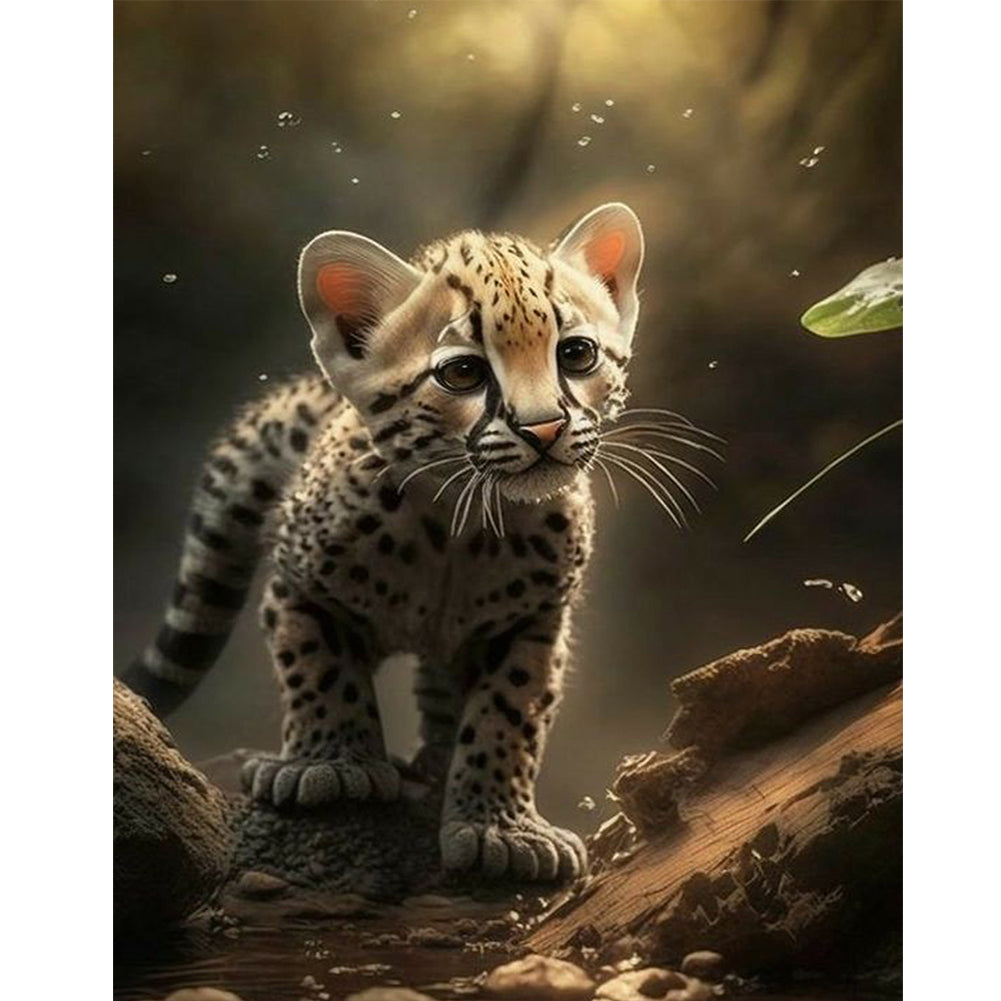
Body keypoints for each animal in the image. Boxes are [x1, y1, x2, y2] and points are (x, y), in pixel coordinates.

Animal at [122, 202, 716, 882]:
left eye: (577, 354)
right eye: (462, 372)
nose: (544, 428)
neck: (460, 524)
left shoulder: (537, 622)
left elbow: (509, 712)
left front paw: (499, 826)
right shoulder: (299, 588)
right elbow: (321, 670)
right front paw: (331, 764)